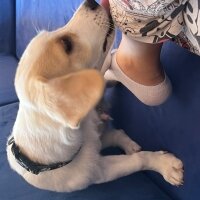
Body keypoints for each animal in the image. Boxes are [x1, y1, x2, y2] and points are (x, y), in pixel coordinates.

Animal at [7, 0, 184, 193]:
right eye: (66, 44)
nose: (90, 2)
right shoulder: (99, 169)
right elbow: (136, 159)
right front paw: (164, 164)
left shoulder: (93, 139)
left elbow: (114, 134)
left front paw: (128, 143)